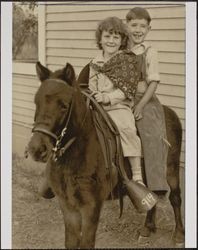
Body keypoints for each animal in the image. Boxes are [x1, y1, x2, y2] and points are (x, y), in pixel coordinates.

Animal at [27, 61, 185, 247]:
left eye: (64, 105)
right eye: (36, 102)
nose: (37, 148)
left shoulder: (91, 207)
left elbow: (87, 243)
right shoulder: (67, 205)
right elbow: (71, 242)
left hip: (171, 170)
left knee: (175, 197)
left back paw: (179, 234)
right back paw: (147, 228)